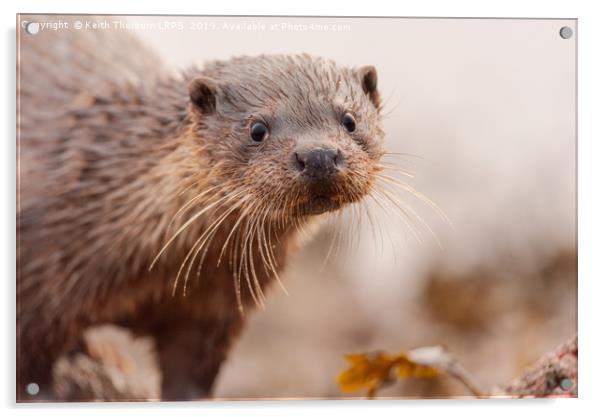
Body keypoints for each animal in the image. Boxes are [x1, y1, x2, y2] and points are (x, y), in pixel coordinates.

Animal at [17, 17, 384, 400]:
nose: (318, 155)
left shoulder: (212, 313)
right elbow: (30, 364)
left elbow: (189, 372)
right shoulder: (35, 286)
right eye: (257, 129)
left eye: (349, 121)